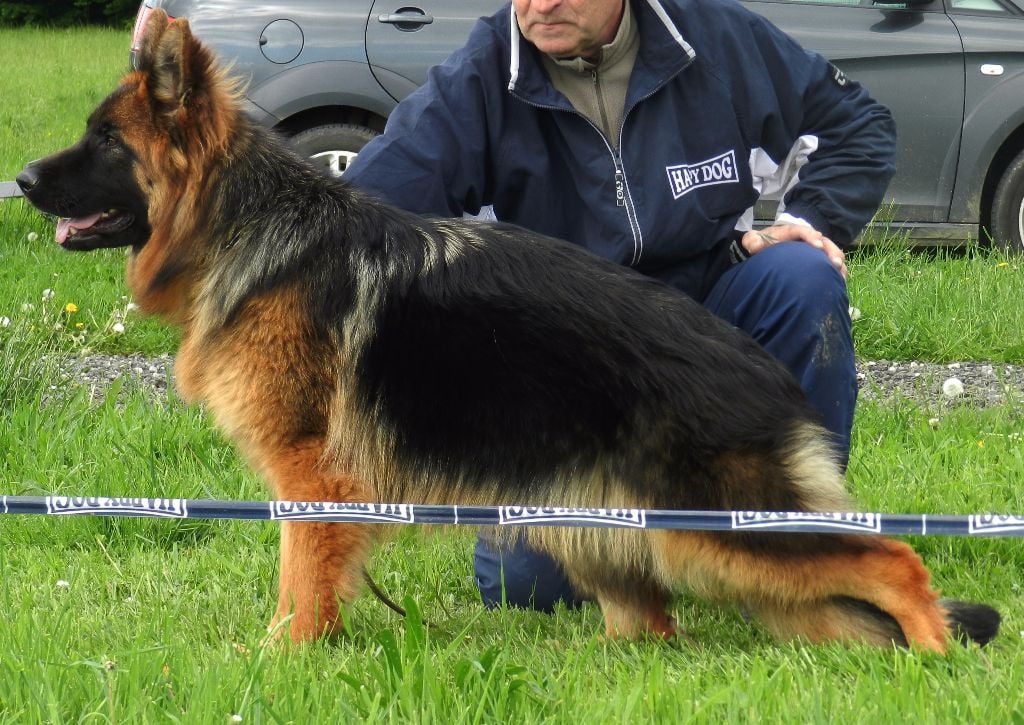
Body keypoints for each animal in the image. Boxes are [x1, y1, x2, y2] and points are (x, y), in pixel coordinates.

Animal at [16, 11, 999, 647]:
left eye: (107, 142)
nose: (21, 179)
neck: (248, 226)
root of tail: (761, 371)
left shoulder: (312, 479)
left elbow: (301, 586)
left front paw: (281, 658)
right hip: (600, 523)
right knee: (653, 621)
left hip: (717, 525)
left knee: (896, 559)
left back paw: (935, 656)